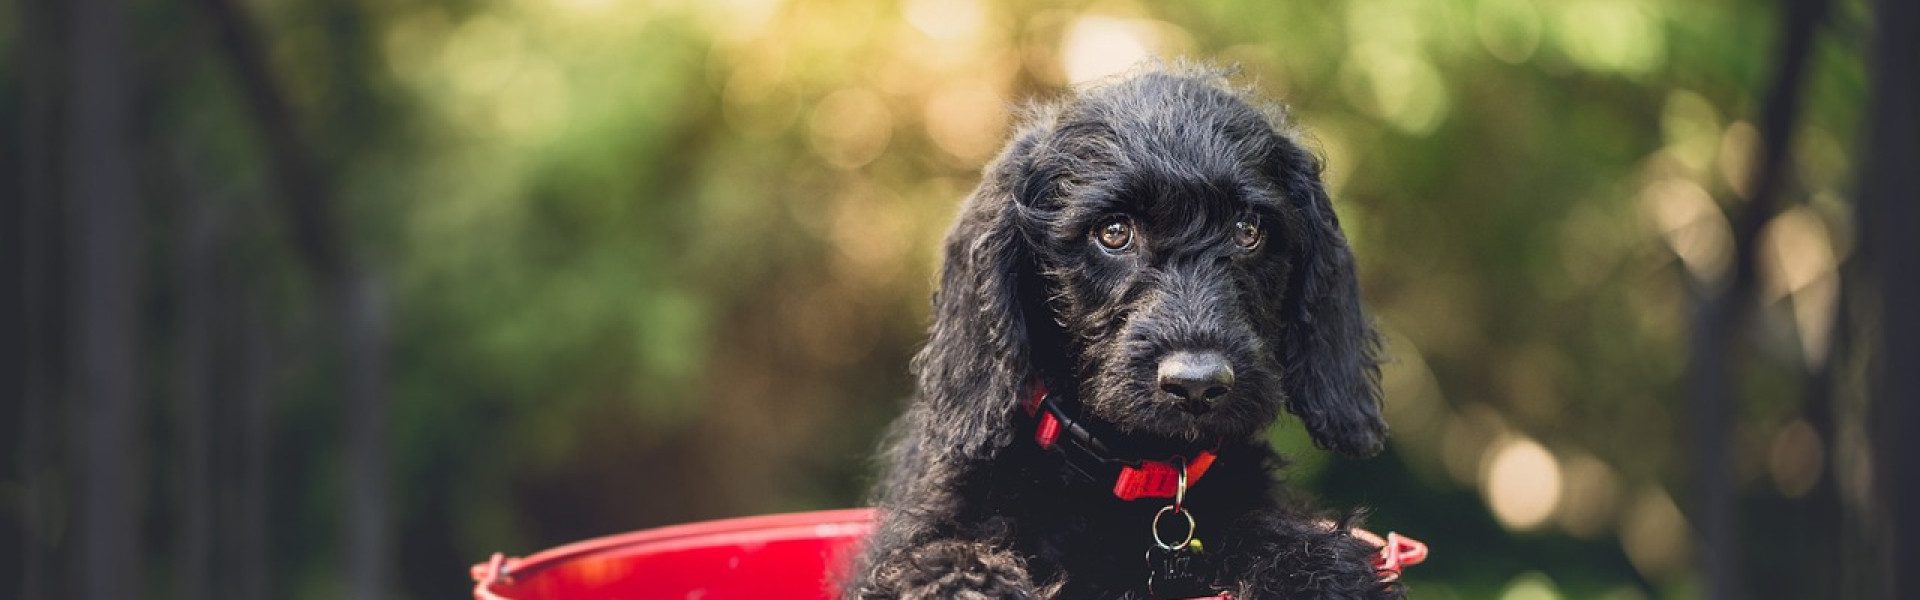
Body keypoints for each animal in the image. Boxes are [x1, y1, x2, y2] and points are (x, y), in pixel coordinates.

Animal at [848, 65, 1405, 600]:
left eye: (1249, 230)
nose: (1198, 384)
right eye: (1113, 233)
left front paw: (1318, 571)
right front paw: (975, 584)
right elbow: (940, 557)